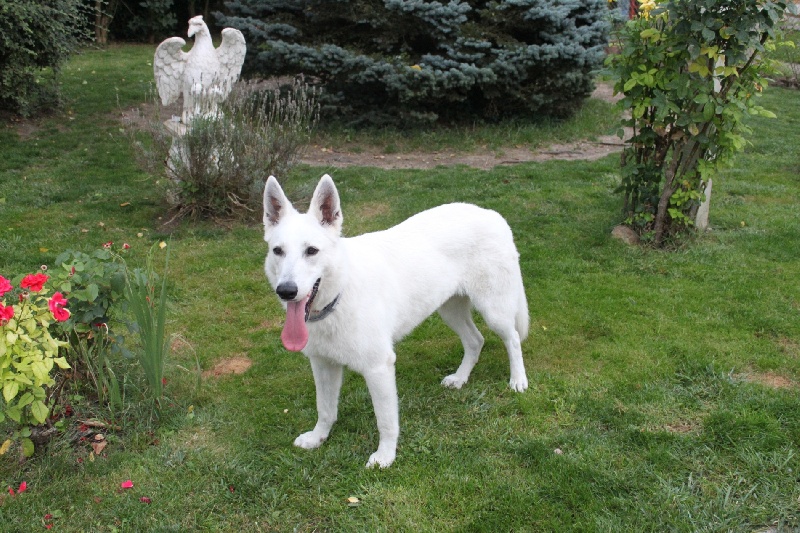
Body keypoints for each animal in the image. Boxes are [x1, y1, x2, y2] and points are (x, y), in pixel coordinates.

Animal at [264, 175, 532, 466]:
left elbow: (386, 421)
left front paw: (385, 456)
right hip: (449, 310)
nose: (286, 291)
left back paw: (518, 380)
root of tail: (492, 214)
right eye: (278, 251)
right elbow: (325, 409)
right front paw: (317, 438)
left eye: (311, 251)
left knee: (512, 340)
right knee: (476, 340)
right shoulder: (323, 365)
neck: (340, 293)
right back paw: (460, 378)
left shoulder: (378, 368)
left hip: (494, 311)